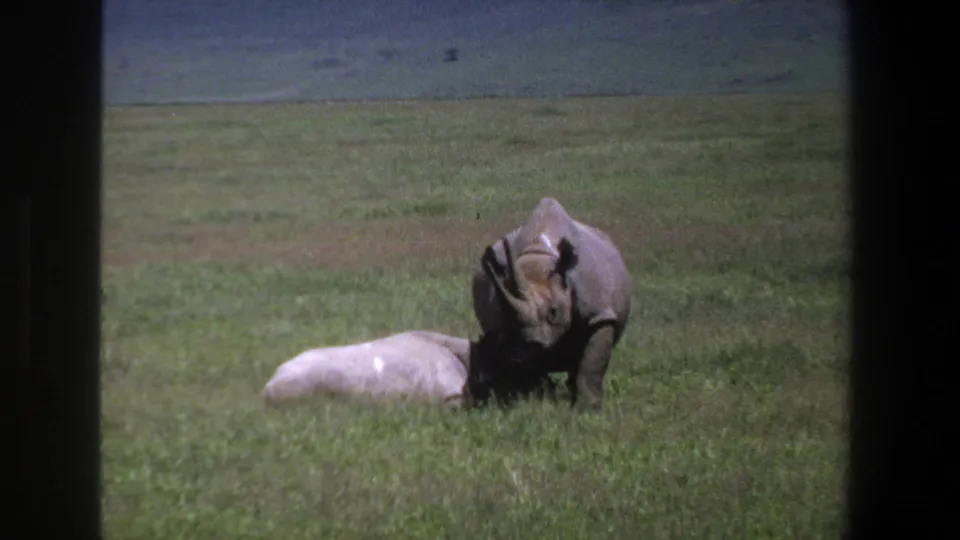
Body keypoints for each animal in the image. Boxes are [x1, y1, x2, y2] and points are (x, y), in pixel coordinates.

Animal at [466, 197, 632, 411]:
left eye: (554, 312)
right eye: (506, 315)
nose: (531, 342)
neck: (538, 257)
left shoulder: (599, 314)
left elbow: (592, 363)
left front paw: (588, 409)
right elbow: (526, 367)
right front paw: (531, 403)